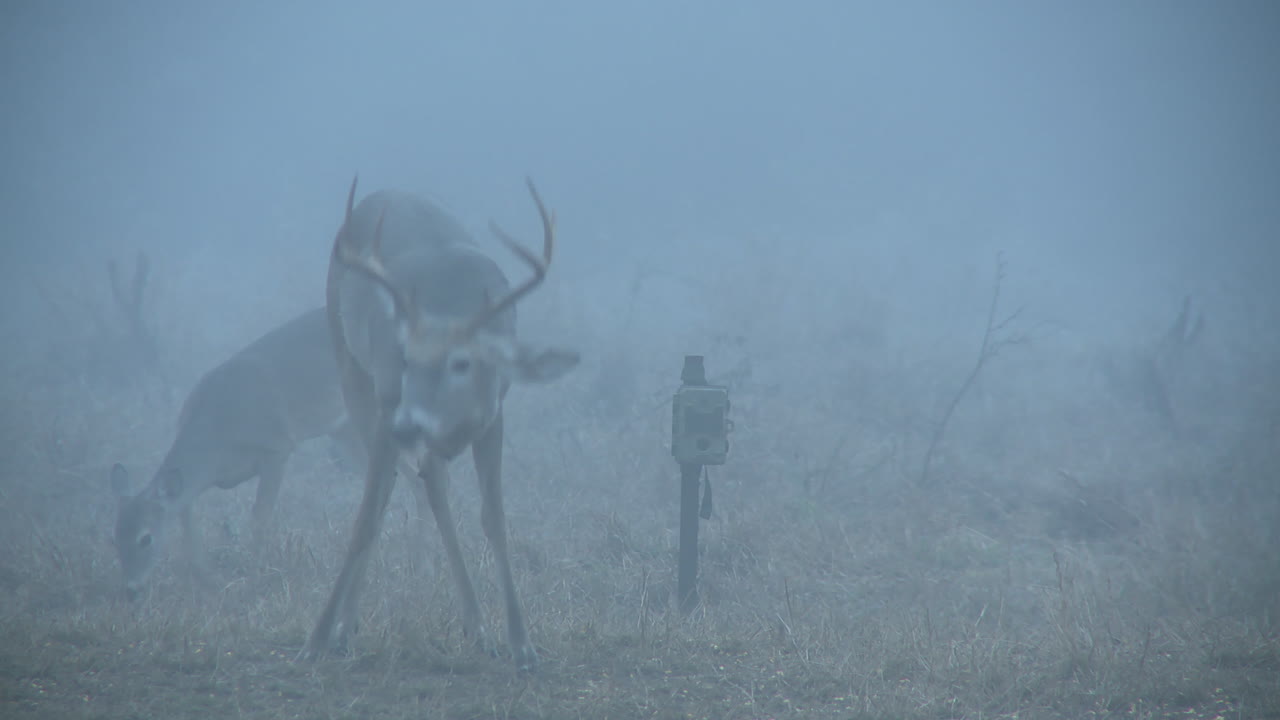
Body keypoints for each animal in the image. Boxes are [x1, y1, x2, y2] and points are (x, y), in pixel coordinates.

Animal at [110, 307, 409, 600]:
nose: (131, 590)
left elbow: (260, 518)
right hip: (343, 428)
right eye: (115, 537)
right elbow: (187, 519)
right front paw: (209, 578)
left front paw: (256, 571)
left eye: (145, 538)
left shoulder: (277, 447)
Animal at [298, 177, 578, 671]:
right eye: (406, 359)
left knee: (430, 485)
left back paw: (477, 628)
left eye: (461, 363)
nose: (408, 426)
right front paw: (317, 638)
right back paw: (345, 627)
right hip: (349, 364)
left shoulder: (494, 414)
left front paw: (521, 644)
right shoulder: (389, 400)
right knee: (389, 491)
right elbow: (364, 518)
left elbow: (494, 518)